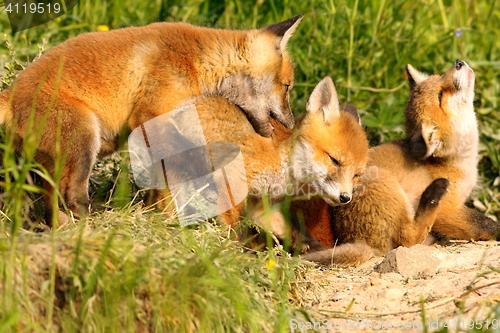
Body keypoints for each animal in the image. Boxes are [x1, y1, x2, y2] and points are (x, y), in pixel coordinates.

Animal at [0, 16, 300, 223]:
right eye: (287, 87)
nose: (292, 125)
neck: (197, 60)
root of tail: (10, 93)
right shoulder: (148, 116)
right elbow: (179, 162)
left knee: (50, 198)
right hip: (84, 139)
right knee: (70, 194)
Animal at [298, 59, 498, 266]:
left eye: (440, 75)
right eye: (440, 95)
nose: (459, 62)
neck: (454, 161)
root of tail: (355, 238)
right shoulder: (448, 209)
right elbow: (483, 223)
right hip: (388, 186)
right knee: (408, 238)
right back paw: (431, 196)